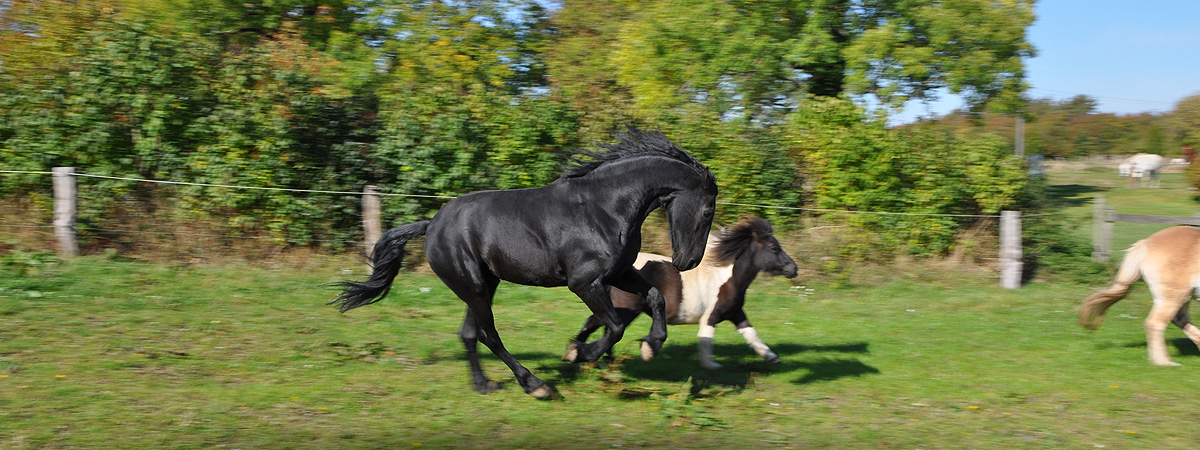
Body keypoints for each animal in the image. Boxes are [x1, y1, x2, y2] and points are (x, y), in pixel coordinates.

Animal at [328, 127, 715, 398]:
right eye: (708, 210)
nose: (687, 262)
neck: (604, 208)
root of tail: (432, 225)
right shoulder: (584, 283)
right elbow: (615, 325)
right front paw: (578, 353)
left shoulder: (618, 273)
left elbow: (655, 298)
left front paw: (650, 346)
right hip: (472, 286)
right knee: (488, 334)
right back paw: (534, 384)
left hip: (485, 284)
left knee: (469, 333)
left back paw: (484, 385)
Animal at [571, 217, 796, 369]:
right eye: (774, 247)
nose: (793, 269)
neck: (726, 277)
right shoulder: (711, 316)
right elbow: (706, 340)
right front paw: (711, 366)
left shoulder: (735, 313)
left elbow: (751, 334)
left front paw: (772, 357)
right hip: (627, 309)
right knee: (606, 327)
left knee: (596, 324)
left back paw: (588, 354)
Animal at [1080, 225, 1200, 367]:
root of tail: (1146, 243)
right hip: (1173, 297)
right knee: (1155, 323)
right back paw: (1163, 362)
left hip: (1183, 296)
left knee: (1179, 319)